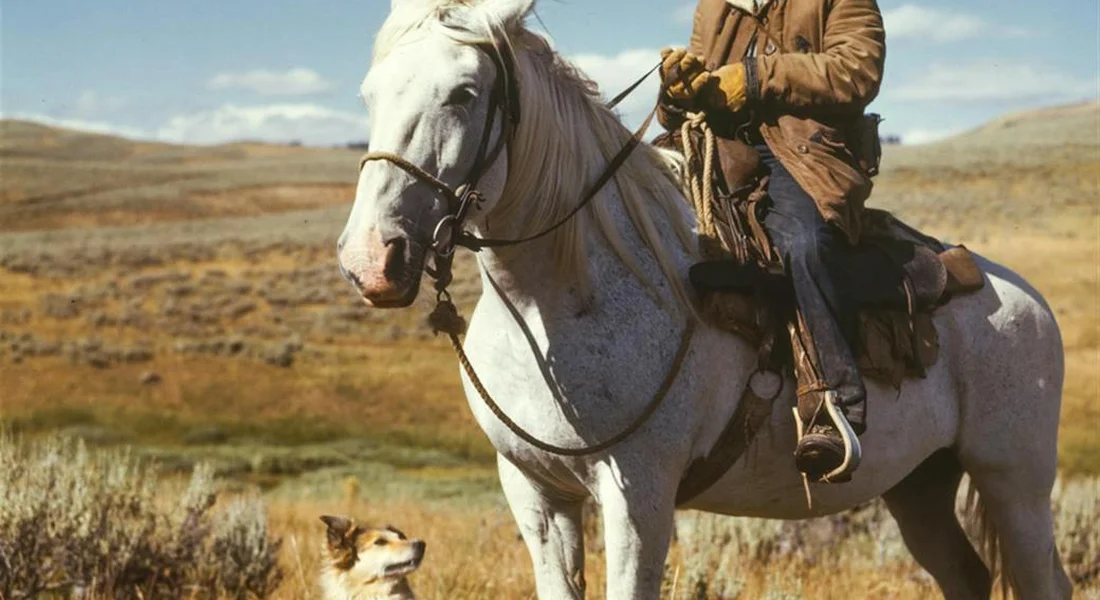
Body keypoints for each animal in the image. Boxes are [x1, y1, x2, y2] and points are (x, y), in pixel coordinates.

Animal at [336, 1, 1071, 598]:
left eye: (464, 93)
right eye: (368, 94)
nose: (372, 260)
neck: (564, 296)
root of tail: (1023, 297)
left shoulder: (638, 492)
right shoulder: (535, 493)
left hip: (1015, 483)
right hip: (919, 485)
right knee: (964, 574)